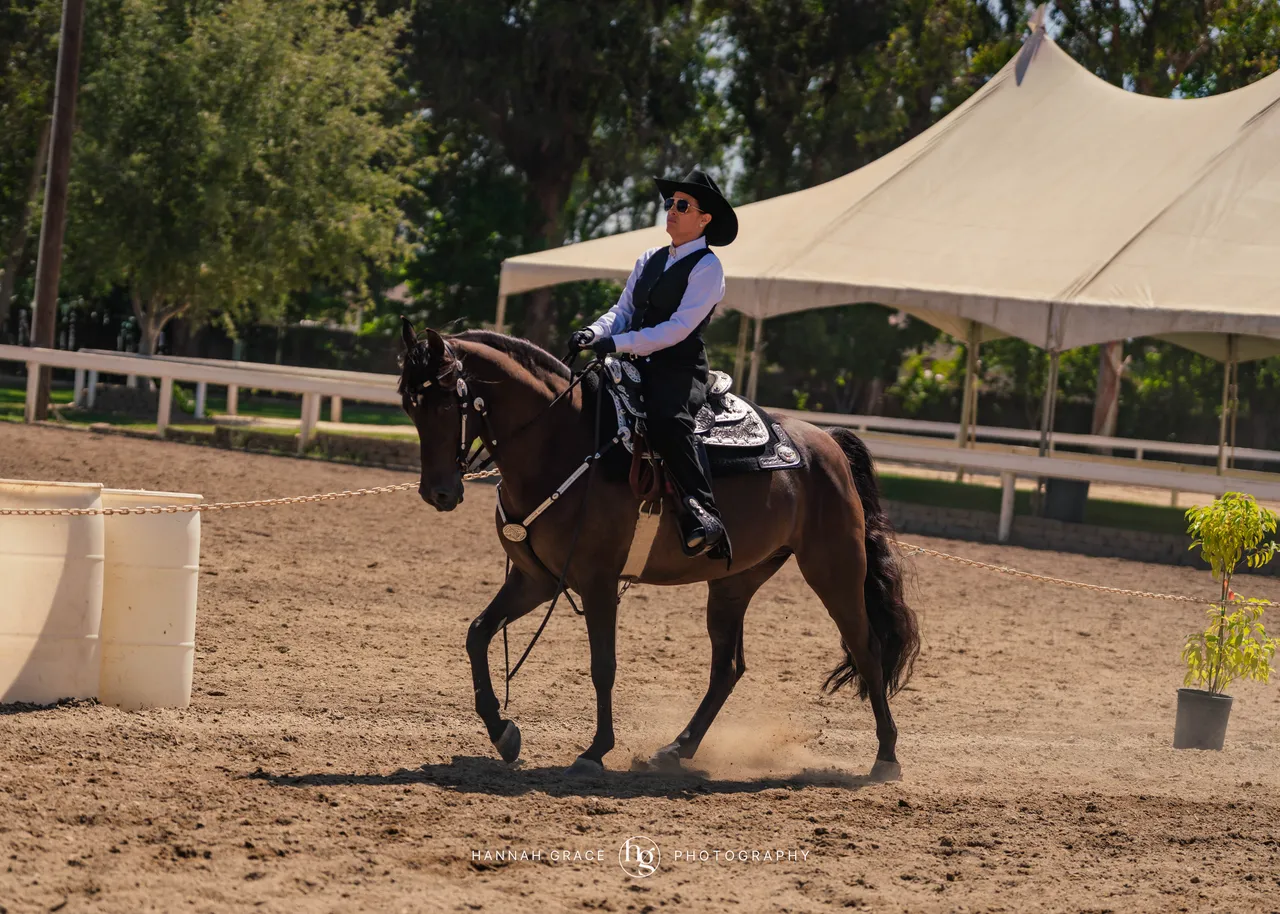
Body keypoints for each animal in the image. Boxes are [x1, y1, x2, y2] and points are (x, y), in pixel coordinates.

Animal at [397, 321, 920, 781]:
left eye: (448, 401)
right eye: (409, 404)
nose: (438, 493)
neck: (563, 444)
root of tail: (826, 440)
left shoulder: (598, 581)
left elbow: (603, 666)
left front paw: (594, 750)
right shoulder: (536, 579)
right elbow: (478, 634)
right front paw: (502, 731)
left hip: (835, 568)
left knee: (867, 648)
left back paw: (886, 757)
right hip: (734, 581)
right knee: (727, 668)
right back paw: (676, 749)